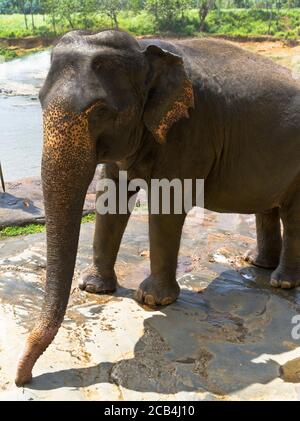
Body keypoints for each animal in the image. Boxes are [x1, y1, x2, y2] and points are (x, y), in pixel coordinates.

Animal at [15, 28, 300, 384]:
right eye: (39, 99)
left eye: (100, 111)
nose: (23, 378)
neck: (146, 51)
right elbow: (111, 196)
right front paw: (95, 288)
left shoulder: (190, 129)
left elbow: (167, 206)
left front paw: (152, 299)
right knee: (268, 207)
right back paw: (257, 263)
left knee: (292, 213)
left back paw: (281, 282)